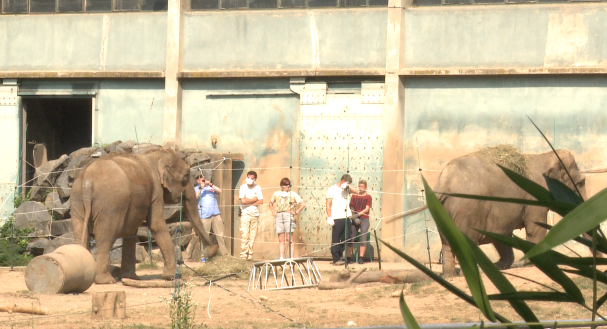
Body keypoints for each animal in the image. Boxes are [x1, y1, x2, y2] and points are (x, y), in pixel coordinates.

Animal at [72, 147, 218, 284]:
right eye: (187, 175)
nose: (212, 251)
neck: (155, 155)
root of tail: (87, 182)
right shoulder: (155, 192)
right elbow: (156, 224)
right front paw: (171, 276)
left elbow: (130, 232)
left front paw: (131, 278)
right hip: (110, 205)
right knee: (106, 236)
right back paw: (106, 281)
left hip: (77, 202)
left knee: (81, 234)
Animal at [434, 147, 588, 276]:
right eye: (580, 183)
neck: (543, 156)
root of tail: (444, 181)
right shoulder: (534, 196)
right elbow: (535, 229)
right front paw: (533, 264)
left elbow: (501, 234)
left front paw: (500, 266)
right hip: (469, 210)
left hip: (443, 211)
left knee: (446, 243)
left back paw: (450, 276)